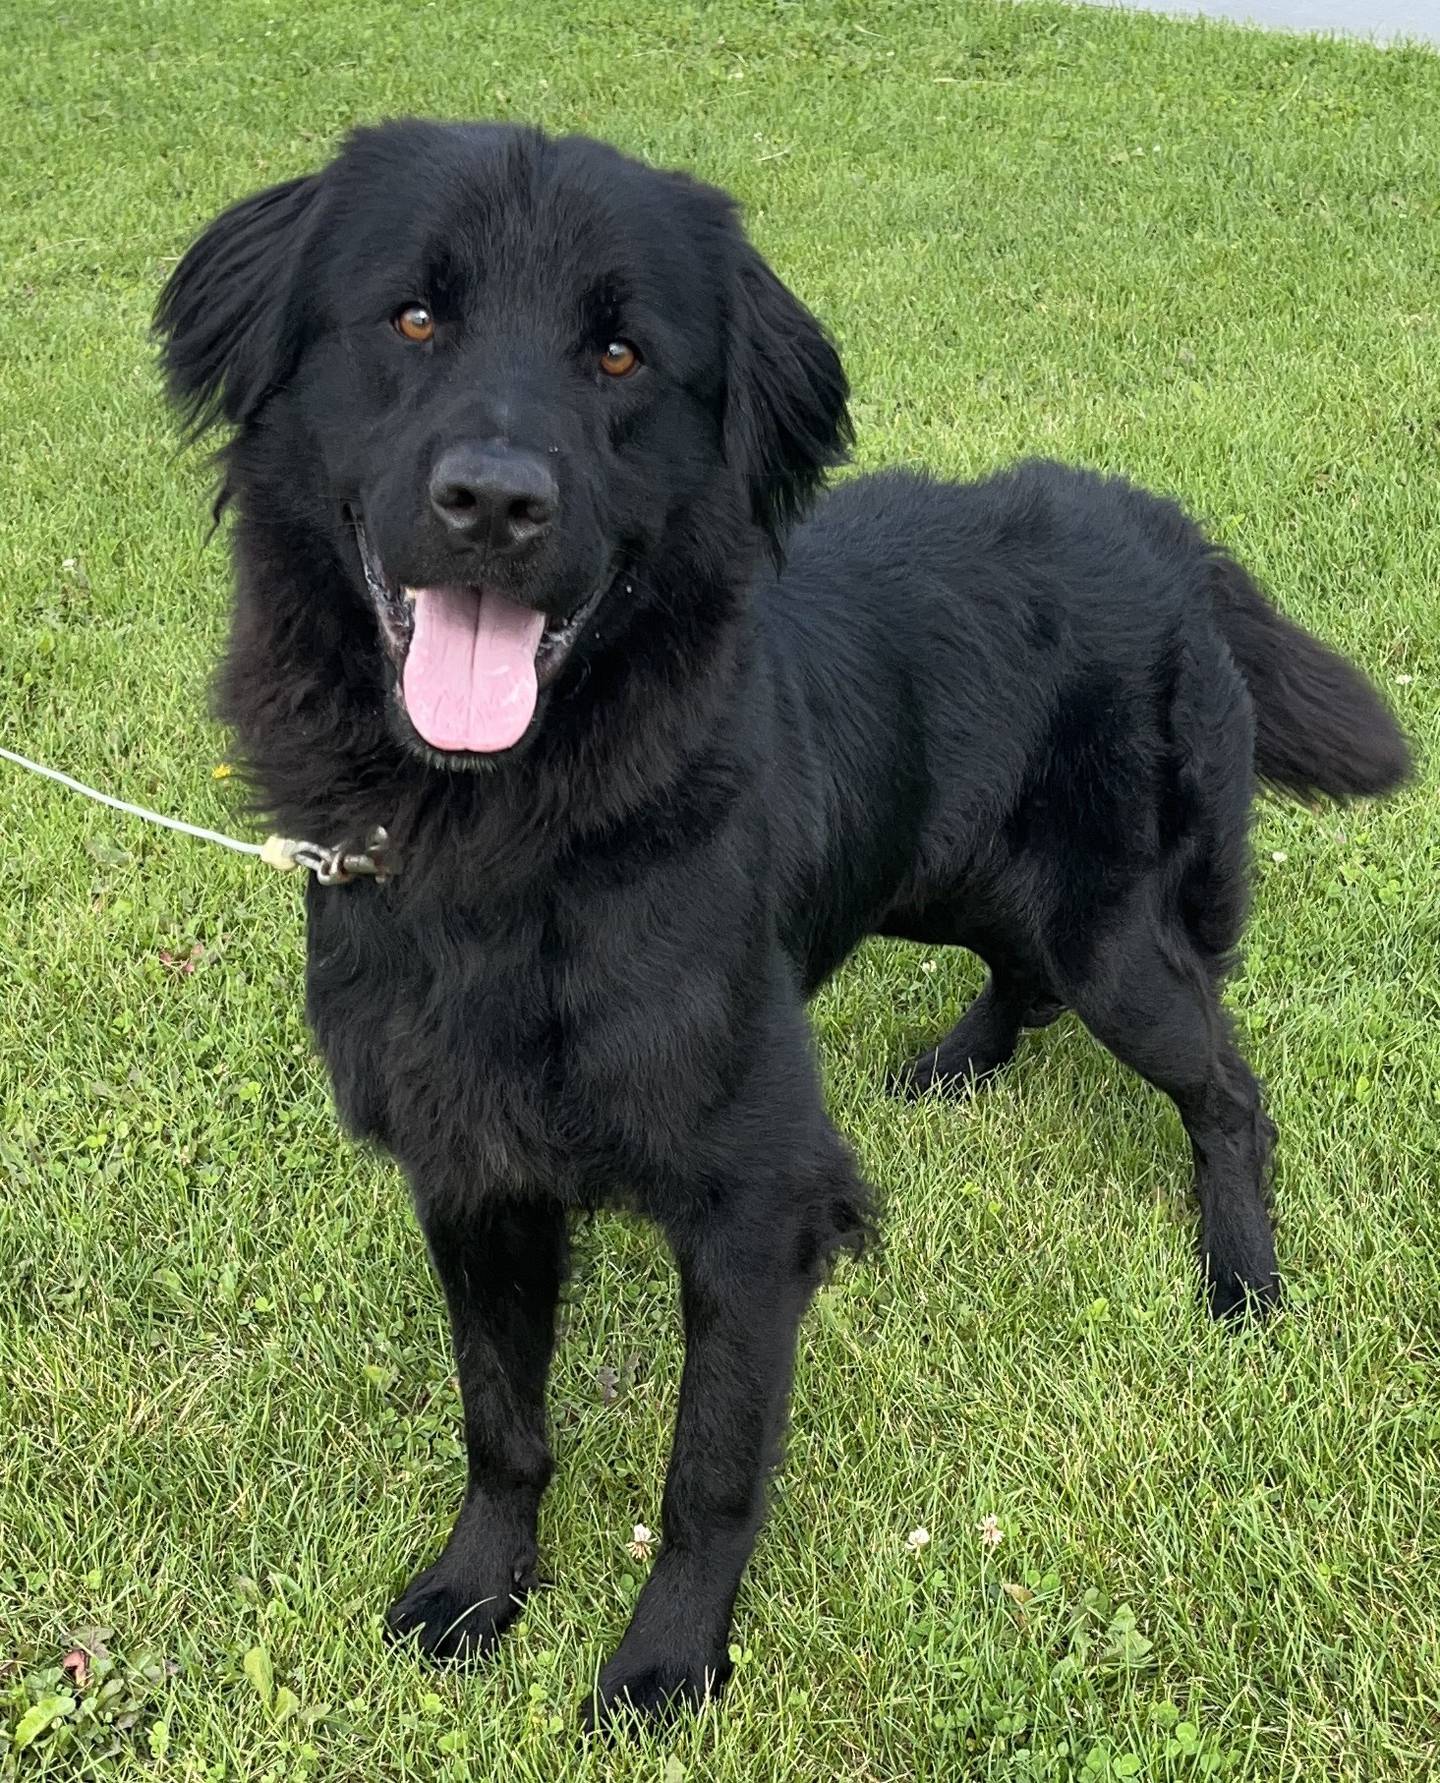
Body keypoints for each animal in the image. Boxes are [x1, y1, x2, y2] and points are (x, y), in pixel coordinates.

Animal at [151, 122, 1411, 1725]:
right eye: (414, 320)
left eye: (621, 353)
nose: (494, 505)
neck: (520, 830)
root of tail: (1161, 526)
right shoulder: (469, 1169)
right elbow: (501, 1418)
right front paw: (480, 1587)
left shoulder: (752, 1210)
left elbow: (708, 1473)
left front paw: (665, 1661)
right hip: (946, 878)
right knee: (1020, 971)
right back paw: (959, 1065)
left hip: (1118, 940)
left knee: (1229, 1090)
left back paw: (1241, 1274)